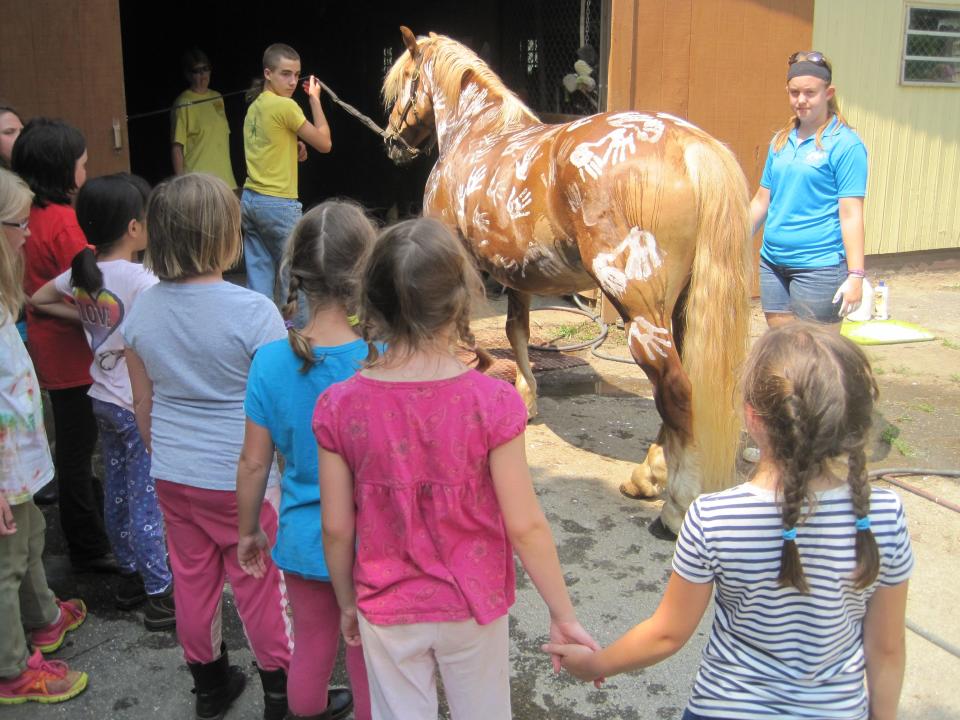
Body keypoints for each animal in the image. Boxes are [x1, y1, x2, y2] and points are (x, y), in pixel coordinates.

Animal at [382, 28, 752, 536]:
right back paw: (648, 476)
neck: (477, 135)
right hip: (679, 309)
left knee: (675, 390)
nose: (392, 141)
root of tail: (688, 145)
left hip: (640, 308)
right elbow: (516, 331)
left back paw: (674, 504)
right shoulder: (515, 270)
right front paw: (526, 398)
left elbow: (467, 333)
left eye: (404, 83)